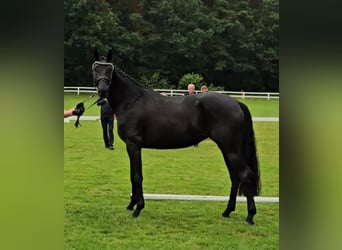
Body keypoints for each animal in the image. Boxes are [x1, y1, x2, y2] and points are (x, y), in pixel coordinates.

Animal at [92, 50, 260, 225]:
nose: (102, 90)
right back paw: (227, 211)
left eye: (109, 70)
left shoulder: (133, 145)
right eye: (95, 68)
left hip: (230, 149)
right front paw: (131, 205)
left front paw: (138, 208)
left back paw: (250, 216)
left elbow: (137, 176)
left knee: (245, 175)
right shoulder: (133, 147)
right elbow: (133, 175)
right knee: (235, 177)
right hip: (227, 148)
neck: (132, 100)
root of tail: (236, 103)